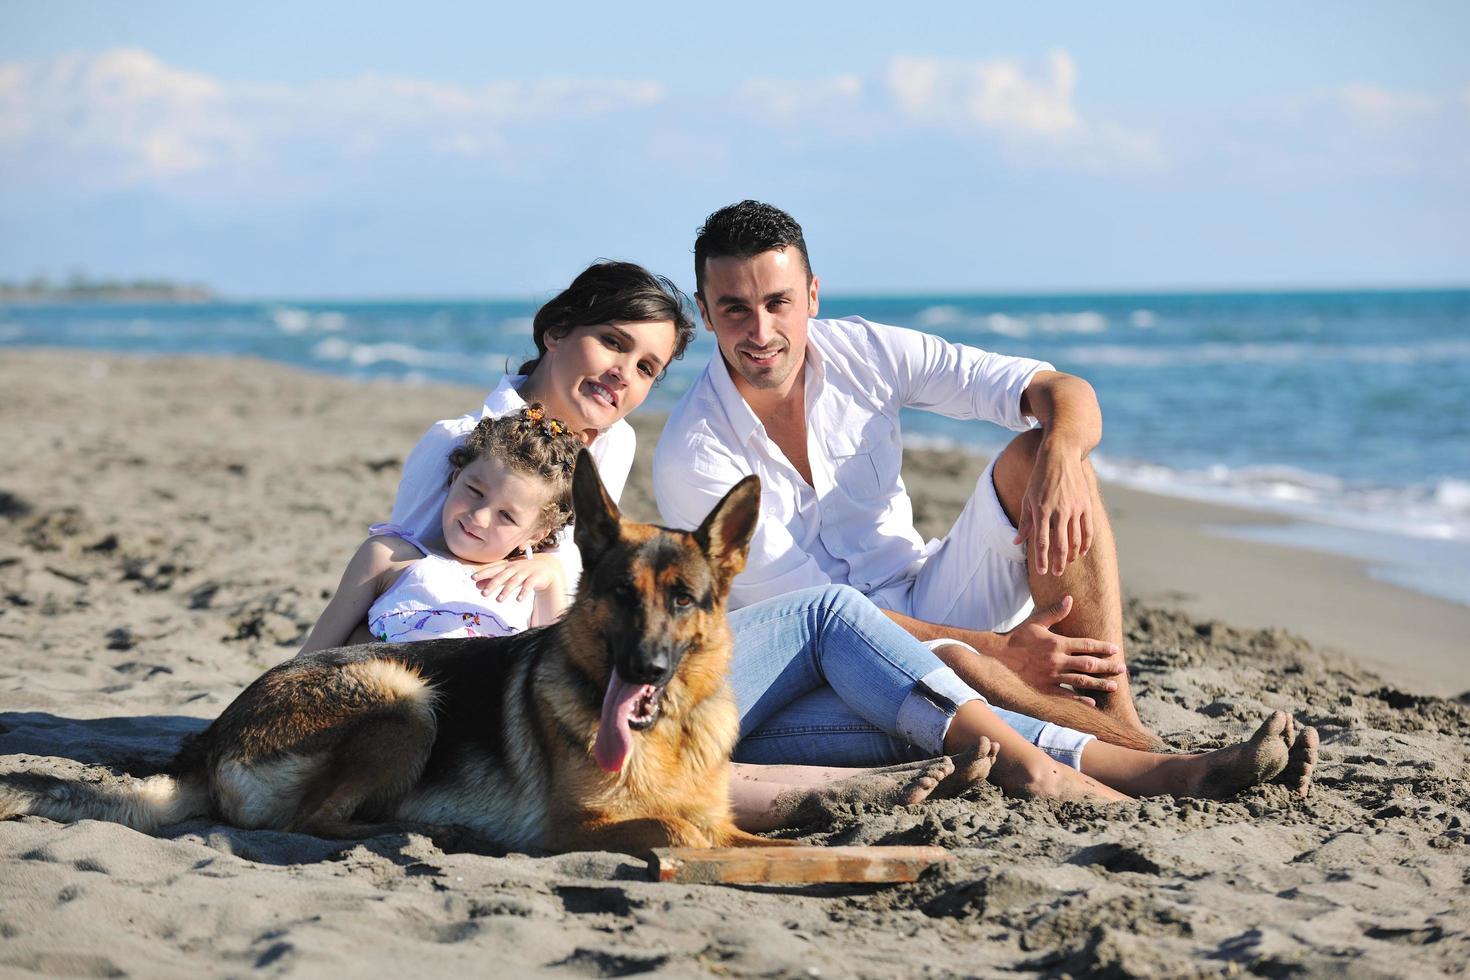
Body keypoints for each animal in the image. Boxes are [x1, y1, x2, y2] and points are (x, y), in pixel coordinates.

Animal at [2, 452, 782, 858]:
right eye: (621, 594)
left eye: (682, 599)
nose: (646, 669)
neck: (669, 734)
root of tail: (210, 740)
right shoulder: (573, 829)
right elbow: (679, 827)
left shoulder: (725, 821)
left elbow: (731, 833)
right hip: (405, 698)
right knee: (311, 821)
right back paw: (434, 830)